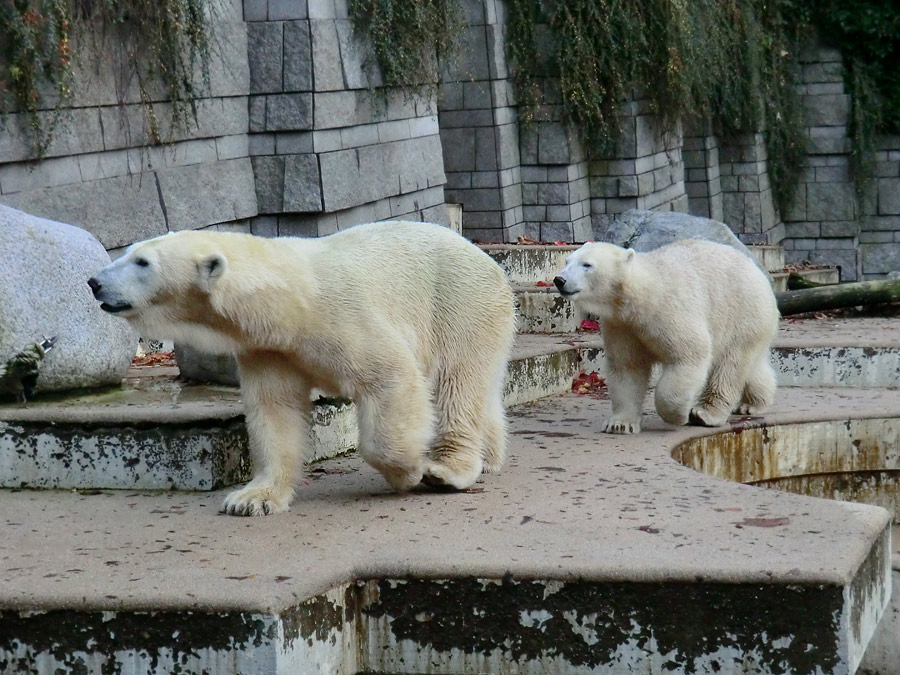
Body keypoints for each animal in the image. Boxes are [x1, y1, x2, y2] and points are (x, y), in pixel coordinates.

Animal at [91, 223, 516, 516]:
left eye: (143, 262)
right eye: (129, 253)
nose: (94, 281)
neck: (291, 300)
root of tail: (489, 261)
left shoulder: (342, 316)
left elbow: (391, 375)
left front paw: (408, 472)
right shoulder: (269, 349)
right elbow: (274, 411)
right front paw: (252, 498)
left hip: (460, 304)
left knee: (457, 383)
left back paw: (447, 469)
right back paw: (489, 456)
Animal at [552, 240, 776, 436]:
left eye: (587, 264)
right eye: (567, 261)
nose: (559, 280)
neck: (642, 297)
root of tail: (757, 269)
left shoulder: (669, 312)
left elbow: (690, 355)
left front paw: (679, 416)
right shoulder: (622, 326)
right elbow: (627, 367)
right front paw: (620, 424)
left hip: (742, 312)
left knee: (729, 365)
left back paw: (705, 413)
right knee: (751, 366)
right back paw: (752, 404)